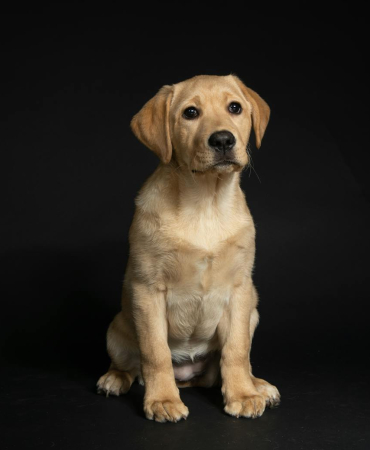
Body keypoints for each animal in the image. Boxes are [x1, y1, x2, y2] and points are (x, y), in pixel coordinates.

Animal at [98, 74, 280, 422]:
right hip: (117, 328)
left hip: (254, 311)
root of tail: (189, 375)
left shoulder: (240, 290)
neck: (206, 202)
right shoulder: (147, 289)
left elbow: (237, 350)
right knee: (131, 364)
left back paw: (258, 385)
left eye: (234, 108)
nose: (222, 140)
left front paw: (242, 394)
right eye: (190, 113)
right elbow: (155, 353)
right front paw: (162, 400)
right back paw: (116, 378)